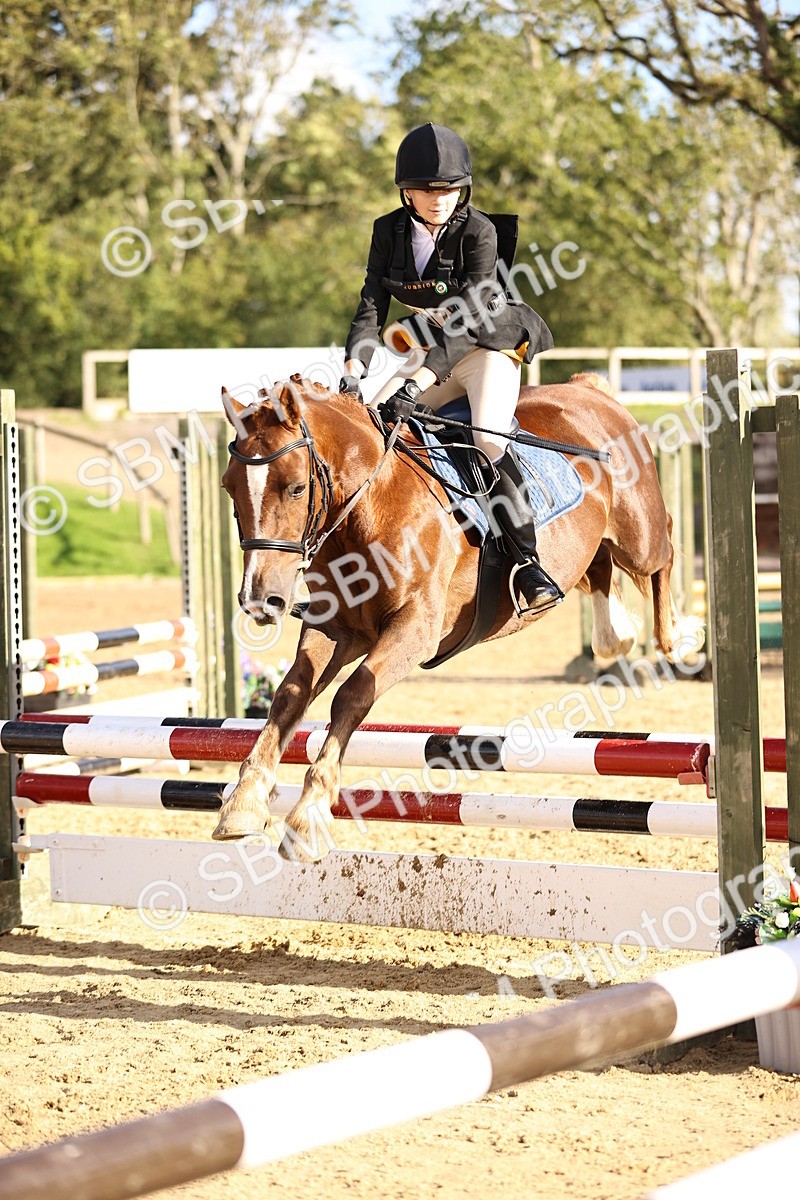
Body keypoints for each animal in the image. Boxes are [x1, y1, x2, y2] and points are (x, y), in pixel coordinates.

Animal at [212, 373, 699, 859]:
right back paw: (617, 632)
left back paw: (681, 640)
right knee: (599, 568)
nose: (260, 600)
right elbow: (289, 696)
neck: (372, 505)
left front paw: (308, 816)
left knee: (664, 549)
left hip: (638, 535)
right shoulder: (334, 629)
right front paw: (243, 804)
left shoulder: (415, 628)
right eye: (229, 488)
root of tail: (590, 388)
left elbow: (351, 695)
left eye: (296, 487)